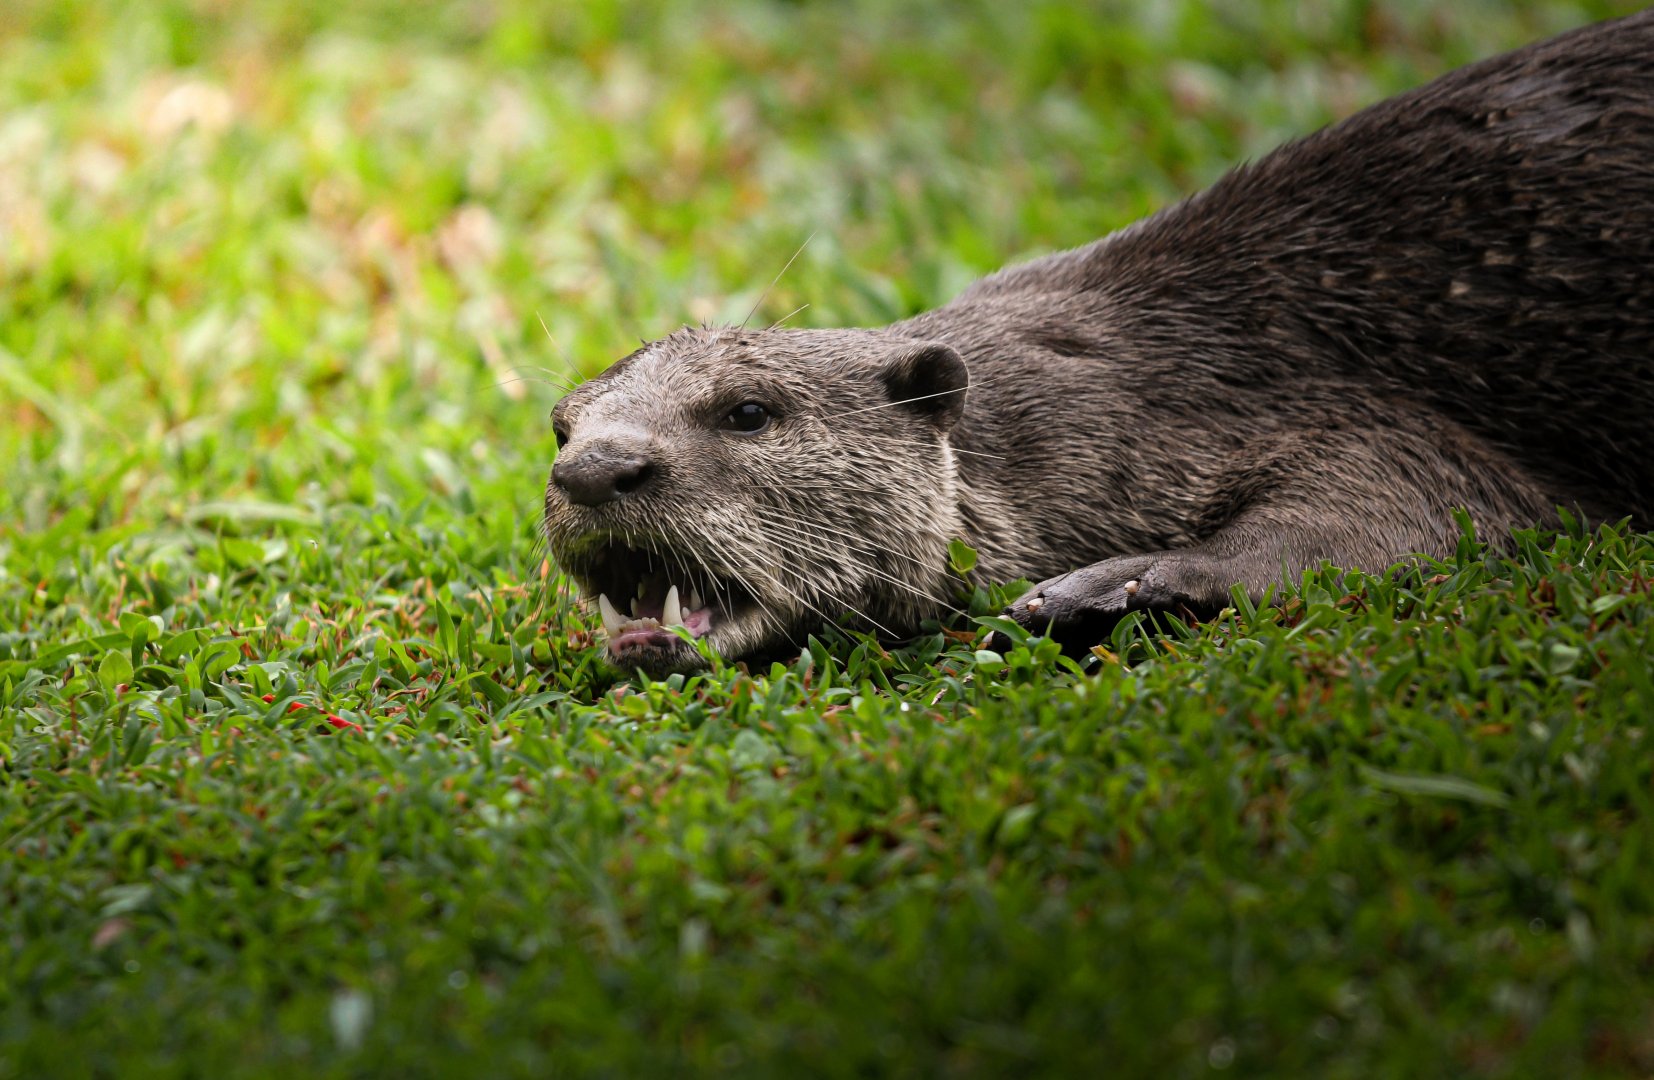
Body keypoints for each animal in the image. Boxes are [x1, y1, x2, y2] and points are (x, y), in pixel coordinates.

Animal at [542, 10, 1654, 676]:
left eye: (747, 412)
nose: (595, 468)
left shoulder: (1319, 396)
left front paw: (1114, 585)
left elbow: (1417, 506)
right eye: (559, 429)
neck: (1118, 389)